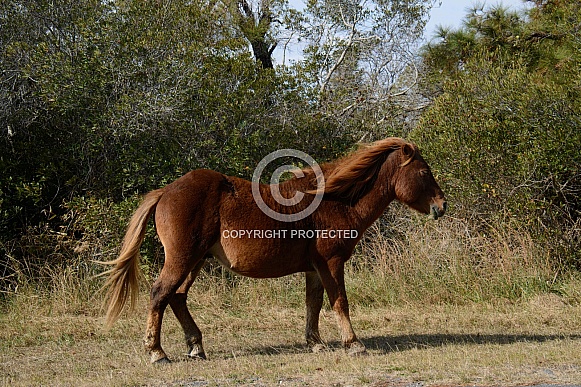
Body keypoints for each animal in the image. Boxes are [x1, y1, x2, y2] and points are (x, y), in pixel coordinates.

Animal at [101, 137, 444, 364]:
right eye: (424, 173)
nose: (442, 205)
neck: (335, 201)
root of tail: (165, 192)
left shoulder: (314, 268)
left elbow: (313, 304)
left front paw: (315, 342)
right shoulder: (332, 263)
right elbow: (340, 302)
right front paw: (353, 342)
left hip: (195, 260)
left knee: (177, 297)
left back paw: (196, 346)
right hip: (182, 258)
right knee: (160, 294)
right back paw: (157, 352)